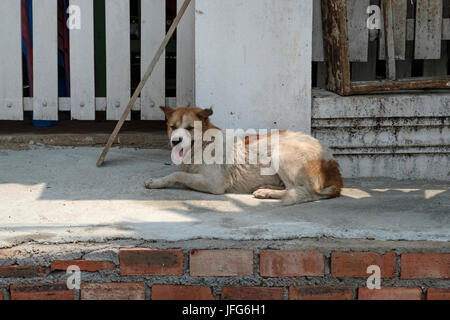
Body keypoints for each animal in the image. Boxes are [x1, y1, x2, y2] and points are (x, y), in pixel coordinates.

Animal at [145, 105, 344, 205]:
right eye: (172, 127)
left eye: (189, 128)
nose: (175, 141)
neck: (203, 145)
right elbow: (179, 173)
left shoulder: (215, 184)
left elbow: (178, 174)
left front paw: (157, 182)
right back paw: (266, 189)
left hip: (280, 151)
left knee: (304, 192)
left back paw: (267, 192)